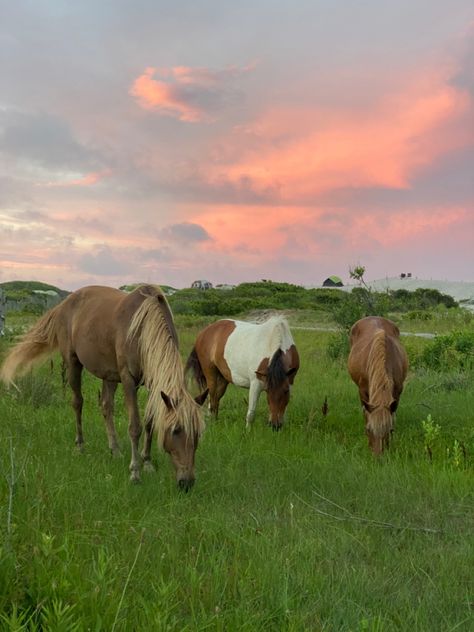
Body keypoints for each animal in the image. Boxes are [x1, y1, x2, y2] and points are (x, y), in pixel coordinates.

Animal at [0, 286, 207, 488]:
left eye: (198, 434)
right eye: (176, 430)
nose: (187, 482)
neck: (143, 329)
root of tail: (63, 305)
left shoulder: (153, 383)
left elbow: (149, 421)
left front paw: (147, 462)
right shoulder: (128, 380)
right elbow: (135, 426)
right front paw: (135, 471)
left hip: (109, 375)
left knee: (106, 407)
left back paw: (114, 449)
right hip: (73, 364)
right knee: (78, 403)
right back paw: (80, 445)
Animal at [346, 316, 410, 454]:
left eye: (389, 430)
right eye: (369, 430)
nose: (378, 456)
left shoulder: (397, 392)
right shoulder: (363, 392)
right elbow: (366, 415)